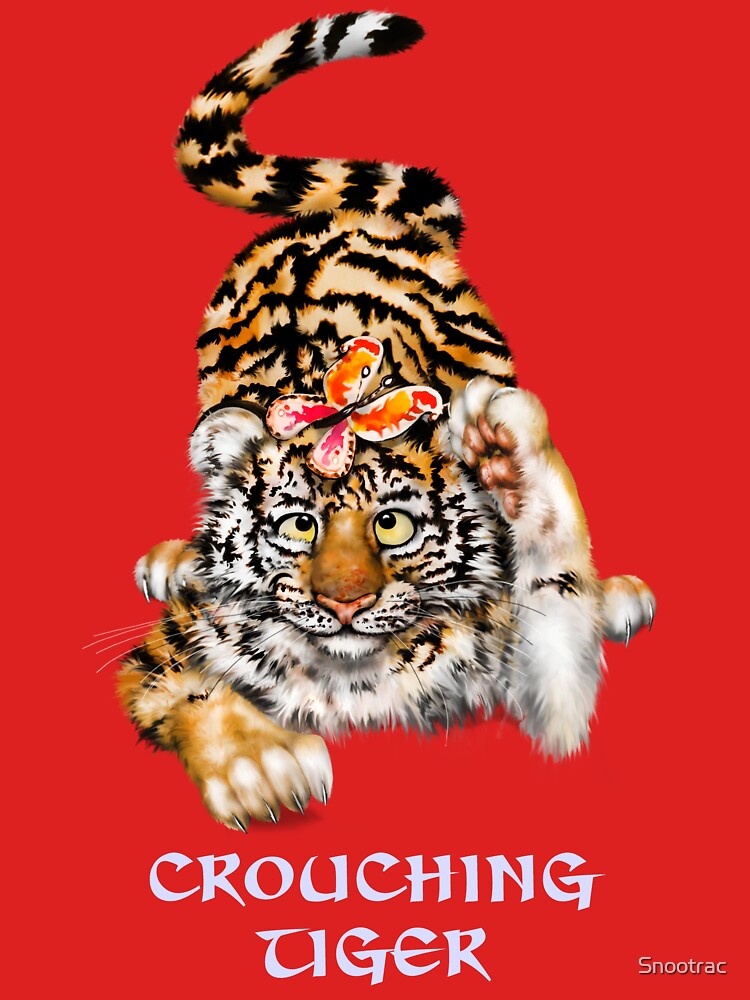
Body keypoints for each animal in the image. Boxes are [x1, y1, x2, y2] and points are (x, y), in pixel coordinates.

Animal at [116, 11, 655, 831]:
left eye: (393, 525)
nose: (344, 604)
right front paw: (262, 768)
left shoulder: (520, 653)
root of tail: (352, 216)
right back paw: (174, 560)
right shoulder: (165, 655)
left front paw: (508, 454)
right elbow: (195, 690)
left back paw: (616, 594)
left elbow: (556, 613)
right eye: (298, 524)